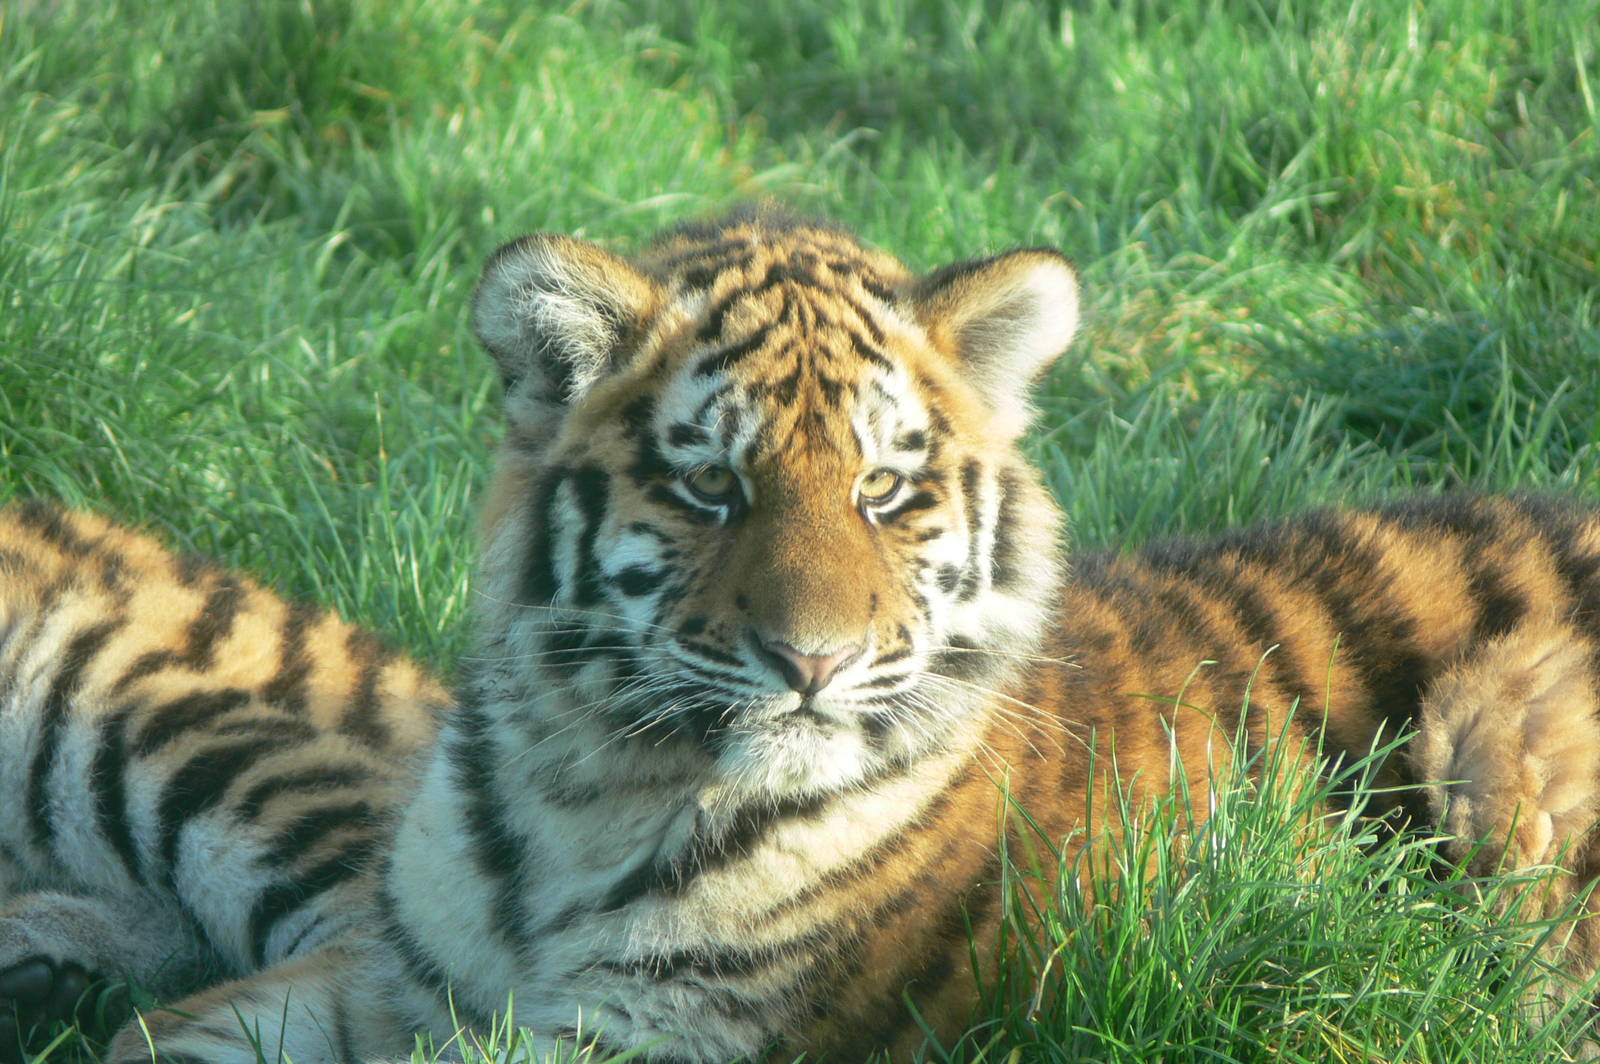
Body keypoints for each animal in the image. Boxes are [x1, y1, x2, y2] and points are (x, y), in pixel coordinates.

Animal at [6, 206, 1600, 1063]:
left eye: (885, 489)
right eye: (714, 484)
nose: (814, 663)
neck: (581, 788)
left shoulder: (639, 1036)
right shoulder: (389, 980)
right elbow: (163, 1033)